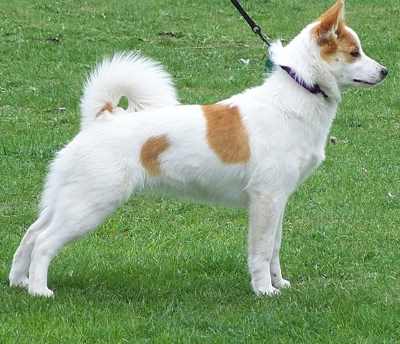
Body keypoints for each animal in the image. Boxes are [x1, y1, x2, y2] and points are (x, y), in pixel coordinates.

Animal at [9, 0, 388, 296]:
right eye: (354, 53)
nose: (385, 70)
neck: (297, 94)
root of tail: (101, 119)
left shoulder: (279, 199)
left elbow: (275, 248)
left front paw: (279, 283)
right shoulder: (266, 199)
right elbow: (262, 251)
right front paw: (264, 290)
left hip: (69, 199)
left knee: (31, 234)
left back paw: (19, 282)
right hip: (91, 205)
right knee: (44, 242)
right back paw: (40, 290)